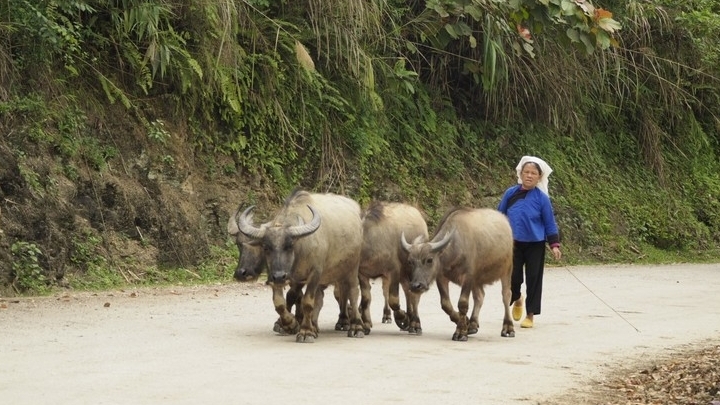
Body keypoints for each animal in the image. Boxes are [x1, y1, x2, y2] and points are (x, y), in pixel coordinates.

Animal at [235, 189, 362, 340]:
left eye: (290, 245)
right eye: (265, 247)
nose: (279, 276)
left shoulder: (315, 274)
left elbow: (307, 302)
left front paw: (306, 331)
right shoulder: (280, 276)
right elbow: (281, 301)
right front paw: (290, 324)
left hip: (351, 268)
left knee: (351, 293)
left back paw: (355, 326)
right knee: (320, 297)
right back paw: (315, 325)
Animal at [358, 200, 428, 332]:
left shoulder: (394, 271)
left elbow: (394, 300)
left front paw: (403, 318)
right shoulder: (362, 274)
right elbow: (366, 299)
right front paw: (366, 323)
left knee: (414, 294)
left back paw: (415, 324)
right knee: (404, 290)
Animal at [402, 207, 516, 340]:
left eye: (429, 260)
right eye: (410, 261)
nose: (416, 286)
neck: (455, 248)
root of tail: (505, 221)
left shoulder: (468, 277)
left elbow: (463, 303)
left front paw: (461, 332)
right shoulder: (441, 277)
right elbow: (445, 304)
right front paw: (464, 322)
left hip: (507, 270)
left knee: (506, 295)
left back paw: (508, 328)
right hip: (477, 280)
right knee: (480, 296)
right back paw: (472, 324)